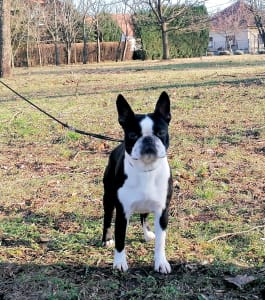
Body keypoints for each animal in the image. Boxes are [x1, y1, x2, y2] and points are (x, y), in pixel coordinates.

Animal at [101, 91, 171, 274]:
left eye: (160, 133)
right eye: (132, 135)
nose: (148, 140)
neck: (146, 169)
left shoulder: (162, 211)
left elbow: (161, 242)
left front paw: (161, 262)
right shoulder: (122, 211)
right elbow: (120, 239)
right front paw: (119, 263)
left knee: (143, 217)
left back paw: (147, 234)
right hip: (108, 198)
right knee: (107, 219)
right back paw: (106, 239)